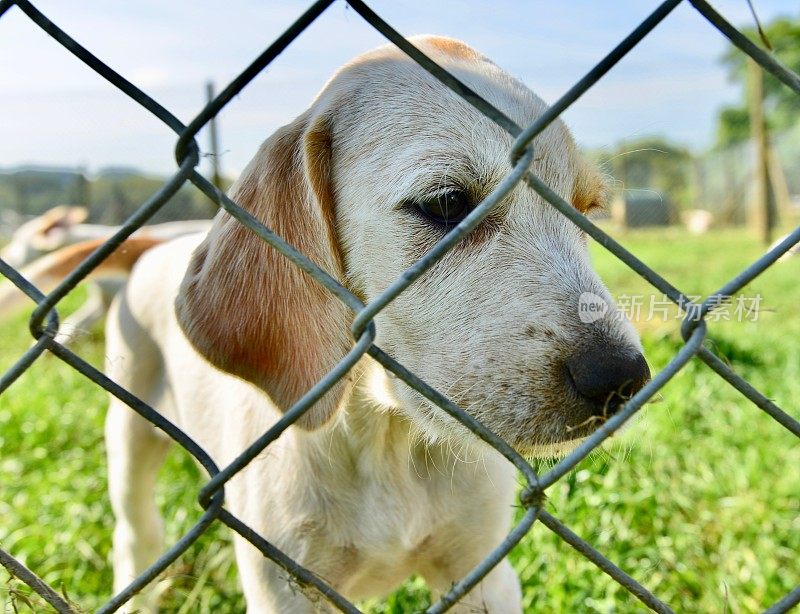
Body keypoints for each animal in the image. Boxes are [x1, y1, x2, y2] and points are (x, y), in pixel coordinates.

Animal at [103, 36, 648, 612]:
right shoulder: (286, 591)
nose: (622, 380)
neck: (388, 437)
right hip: (129, 444)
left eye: (587, 211)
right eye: (446, 203)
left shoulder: (483, 574)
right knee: (137, 537)